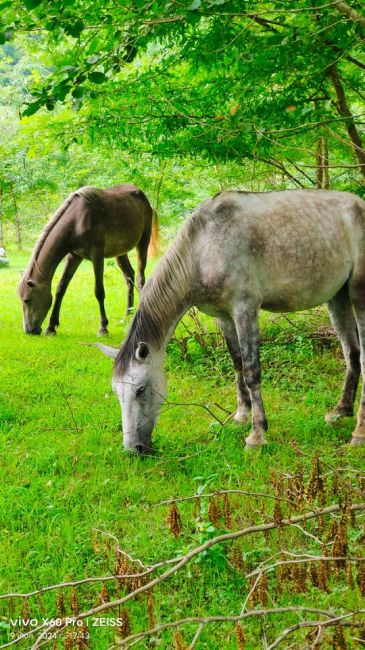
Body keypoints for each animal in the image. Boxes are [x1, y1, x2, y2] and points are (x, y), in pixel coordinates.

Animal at [19, 182, 157, 334]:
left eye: (27, 300)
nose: (29, 330)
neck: (76, 222)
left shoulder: (97, 255)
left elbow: (99, 291)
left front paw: (103, 327)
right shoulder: (74, 257)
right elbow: (61, 289)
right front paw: (51, 327)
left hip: (143, 242)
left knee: (140, 278)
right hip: (120, 251)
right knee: (129, 276)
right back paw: (127, 314)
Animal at [98, 187, 364, 450]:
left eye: (140, 389)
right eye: (116, 392)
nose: (133, 449)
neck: (204, 248)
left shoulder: (245, 311)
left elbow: (251, 371)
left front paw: (257, 434)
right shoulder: (223, 317)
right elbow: (237, 364)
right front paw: (240, 416)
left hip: (357, 294)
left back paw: (358, 433)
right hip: (337, 298)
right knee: (352, 352)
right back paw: (340, 412)